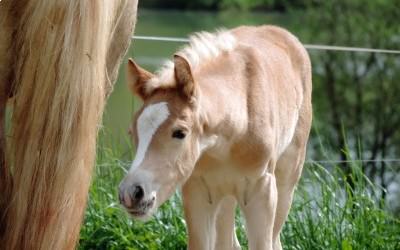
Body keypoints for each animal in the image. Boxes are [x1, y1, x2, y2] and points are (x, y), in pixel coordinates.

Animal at [119, 25, 312, 250]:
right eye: (132, 132)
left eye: (180, 133)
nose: (131, 193)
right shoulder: (196, 191)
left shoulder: (262, 191)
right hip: (225, 192)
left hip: (287, 177)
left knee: (274, 237)